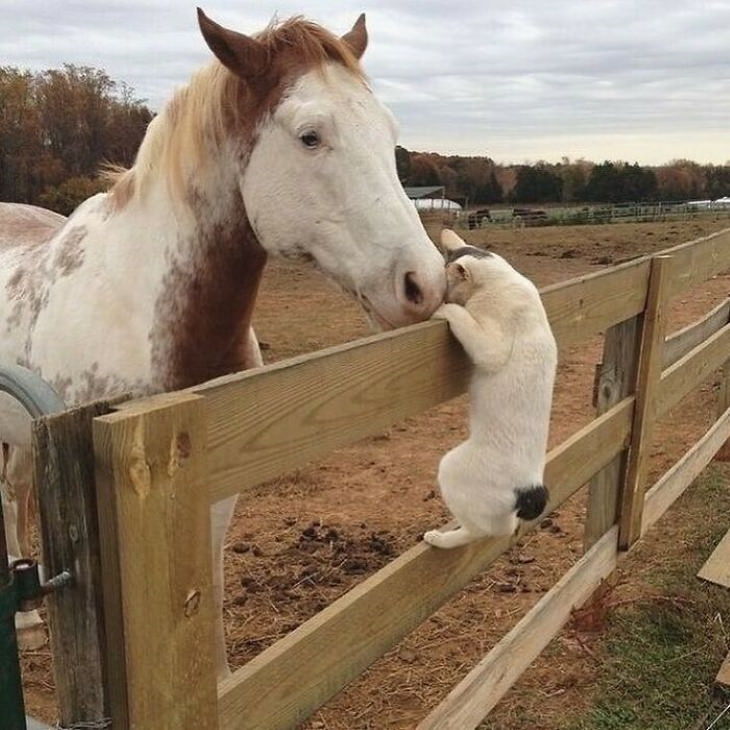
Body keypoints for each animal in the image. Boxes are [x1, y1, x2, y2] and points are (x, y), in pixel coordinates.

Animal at [0, 8, 444, 672]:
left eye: (387, 133)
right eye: (310, 136)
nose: (425, 283)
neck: (154, 317)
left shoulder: (213, 484)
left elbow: (204, 587)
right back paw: (27, 619)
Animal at [424, 229, 556, 544]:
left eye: (446, 285)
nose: (441, 297)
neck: (502, 279)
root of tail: (531, 487)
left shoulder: (492, 348)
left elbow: (461, 317)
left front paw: (443, 309)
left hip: (451, 468)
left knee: (482, 531)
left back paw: (438, 539)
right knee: (504, 528)